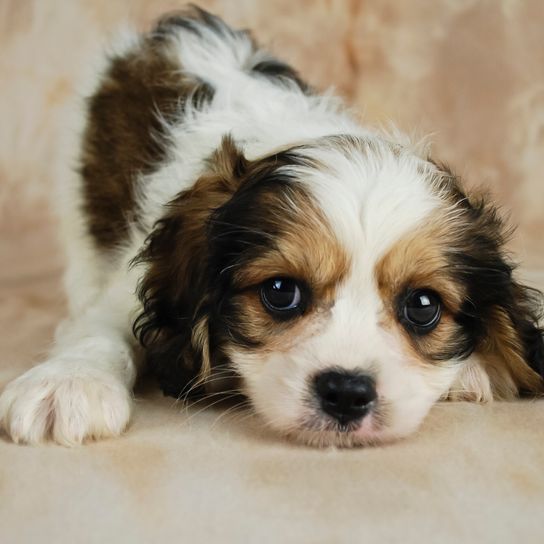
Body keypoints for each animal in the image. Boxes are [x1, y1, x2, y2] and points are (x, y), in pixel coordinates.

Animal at [1, 7, 544, 446]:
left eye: (424, 306)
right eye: (280, 292)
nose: (346, 393)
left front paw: (473, 369)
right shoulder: (128, 284)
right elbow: (100, 327)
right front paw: (69, 382)